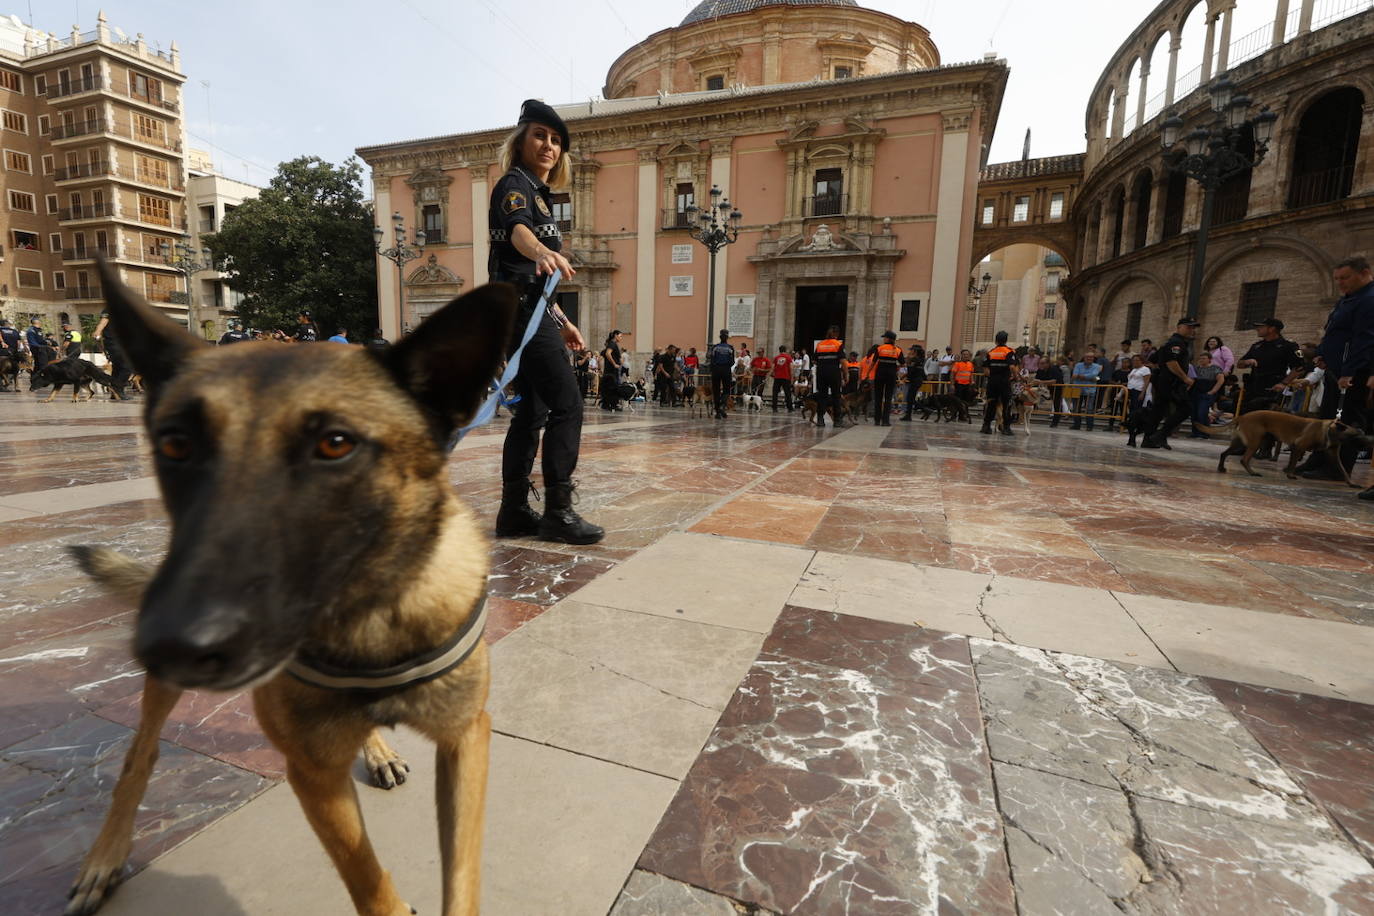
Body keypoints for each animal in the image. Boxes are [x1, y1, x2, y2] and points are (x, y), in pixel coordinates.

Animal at [64, 259, 516, 916]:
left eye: (335, 444)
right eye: (174, 444)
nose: (174, 642)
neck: (370, 617)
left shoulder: (465, 739)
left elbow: (461, 881)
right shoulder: (312, 775)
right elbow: (368, 879)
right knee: (139, 755)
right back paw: (105, 854)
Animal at [1220, 409, 1368, 486]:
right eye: (1355, 437)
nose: (1365, 447)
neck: (1329, 430)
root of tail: (1243, 416)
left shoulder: (1333, 455)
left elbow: (1343, 469)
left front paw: (1350, 482)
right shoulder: (1298, 447)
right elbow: (1293, 463)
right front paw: (1290, 474)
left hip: (1241, 443)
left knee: (1224, 453)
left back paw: (1221, 468)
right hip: (1255, 442)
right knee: (1244, 459)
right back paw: (1252, 472)